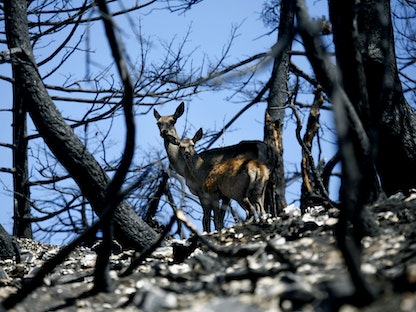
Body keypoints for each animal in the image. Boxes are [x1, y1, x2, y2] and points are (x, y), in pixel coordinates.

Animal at [153, 102, 272, 232]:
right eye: (158, 123)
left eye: (173, 120)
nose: (164, 132)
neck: (184, 170)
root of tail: (262, 147)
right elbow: (217, 217)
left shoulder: (203, 192)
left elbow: (207, 218)